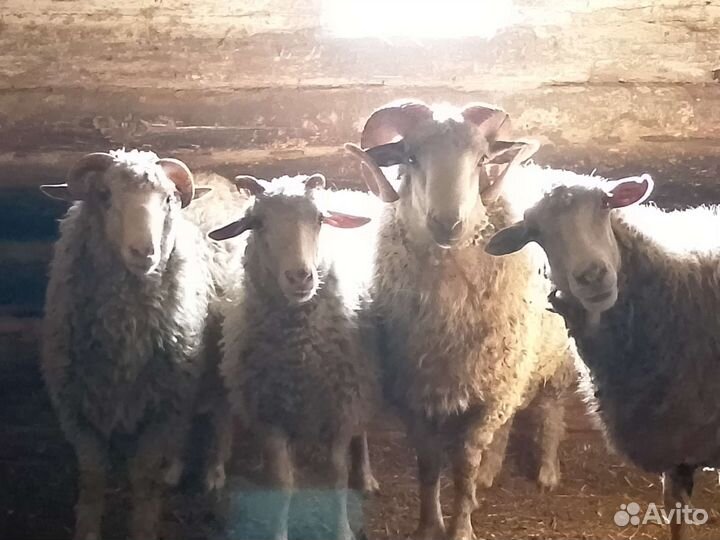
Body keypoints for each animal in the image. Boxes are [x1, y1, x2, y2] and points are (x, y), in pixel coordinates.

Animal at [39, 150, 243, 540]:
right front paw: (87, 529)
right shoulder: (77, 410)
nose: (144, 252)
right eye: (104, 195)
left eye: (168, 200)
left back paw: (214, 472)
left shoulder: (160, 409)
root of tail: (219, 179)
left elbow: (144, 478)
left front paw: (144, 526)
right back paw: (174, 468)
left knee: (224, 414)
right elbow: (92, 480)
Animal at [209, 173, 380, 540]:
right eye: (257, 223)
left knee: (362, 432)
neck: (298, 353)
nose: (300, 277)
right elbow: (282, 483)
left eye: (319, 219)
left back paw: (366, 475)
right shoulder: (271, 414)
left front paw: (343, 529)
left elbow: (337, 475)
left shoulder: (340, 407)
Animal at [344, 100, 577, 540]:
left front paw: (461, 525)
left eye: (483, 159)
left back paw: (547, 472)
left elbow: (463, 465)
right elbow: (428, 463)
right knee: (508, 423)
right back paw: (491, 472)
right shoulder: (417, 393)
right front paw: (427, 524)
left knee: (551, 409)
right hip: (513, 370)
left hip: (553, 360)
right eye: (410, 158)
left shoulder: (488, 395)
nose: (448, 223)